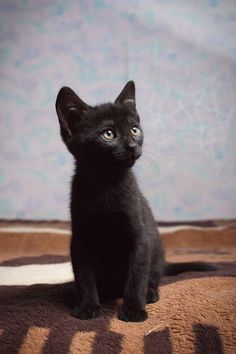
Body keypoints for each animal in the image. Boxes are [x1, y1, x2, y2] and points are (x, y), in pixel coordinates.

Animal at [55, 81, 214, 322]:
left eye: (134, 130)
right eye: (108, 134)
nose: (132, 145)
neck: (106, 185)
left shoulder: (140, 237)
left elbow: (136, 275)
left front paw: (133, 310)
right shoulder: (81, 238)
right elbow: (84, 276)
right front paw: (87, 306)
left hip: (155, 253)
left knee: (153, 277)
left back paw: (149, 293)